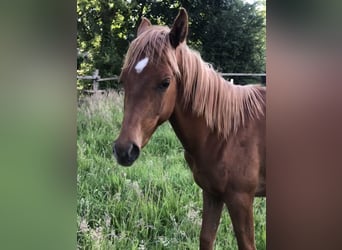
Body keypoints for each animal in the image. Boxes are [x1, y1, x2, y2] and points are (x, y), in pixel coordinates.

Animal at [113, 7, 266, 250]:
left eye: (165, 82)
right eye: (123, 80)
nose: (124, 150)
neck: (226, 134)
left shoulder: (241, 199)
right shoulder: (212, 194)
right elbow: (206, 238)